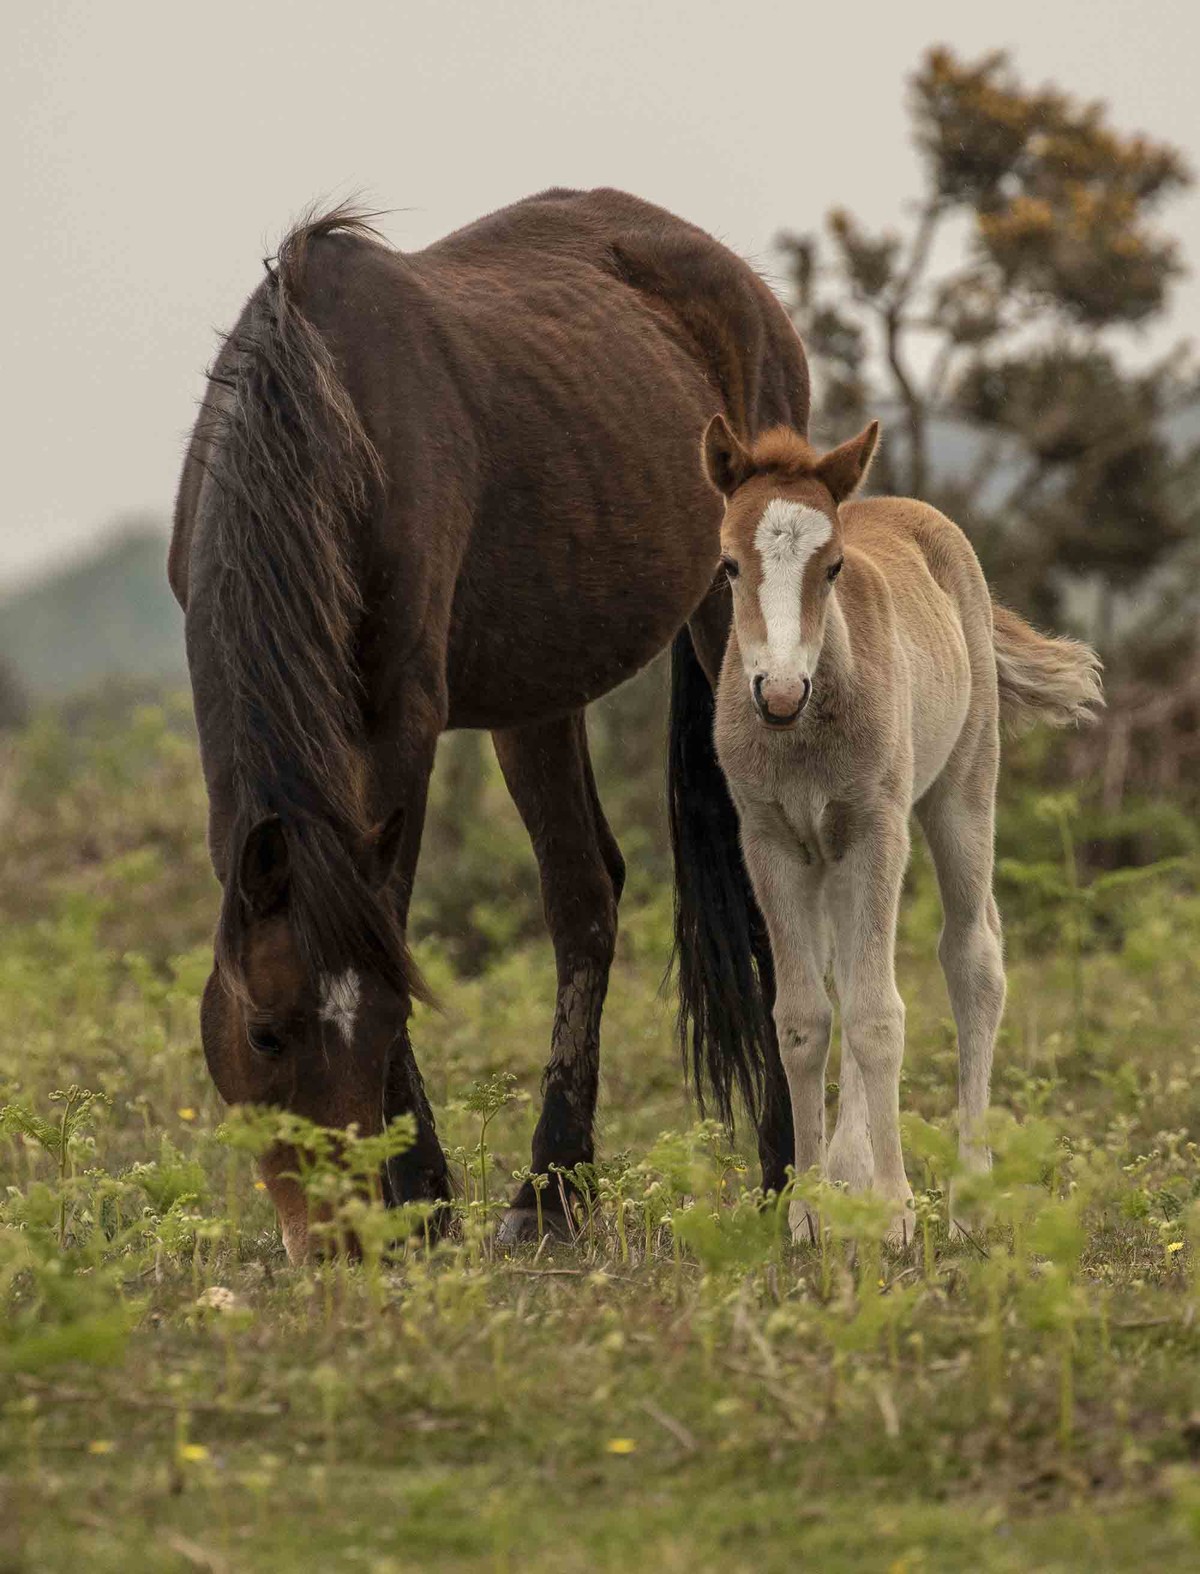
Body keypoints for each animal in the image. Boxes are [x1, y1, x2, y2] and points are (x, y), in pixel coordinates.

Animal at [170, 190, 803, 1259]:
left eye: (387, 1016)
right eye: (265, 1034)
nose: (336, 1243)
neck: (322, 415)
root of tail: (741, 284)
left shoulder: (402, 716)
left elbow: (386, 913)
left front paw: (419, 1197)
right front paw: (429, 1201)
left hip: (735, 626)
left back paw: (783, 1179)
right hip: (538, 694)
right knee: (584, 899)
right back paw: (550, 1195)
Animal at [702, 415, 1102, 1240]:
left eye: (833, 568)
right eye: (728, 566)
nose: (779, 693)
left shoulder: (879, 830)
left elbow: (878, 1016)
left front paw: (892, 1211)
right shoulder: (769, 843)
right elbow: (804, 1020)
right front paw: (808, 1212)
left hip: (963, 788)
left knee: (972, 957)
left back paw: (968, 1196)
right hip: (831, 858)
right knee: (851, 976)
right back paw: (848, 1170)